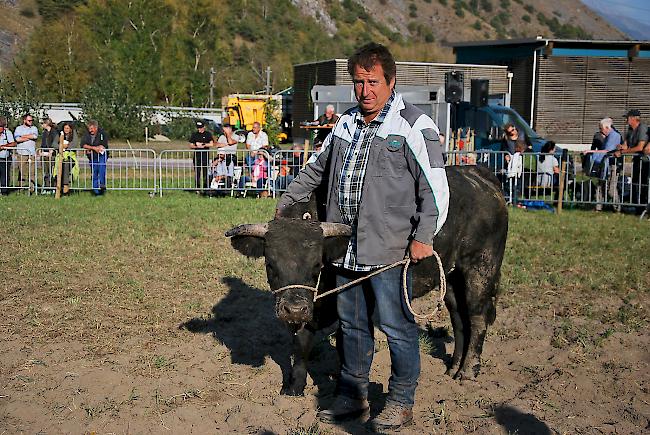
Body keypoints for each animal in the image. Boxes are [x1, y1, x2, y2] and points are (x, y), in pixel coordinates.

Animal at [225, 165, 508, 396]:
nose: (293, 308)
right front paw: (293, 389)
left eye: (317, 265)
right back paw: (453, 368)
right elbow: (301, 345)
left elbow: (345, 347)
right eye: (271, 265)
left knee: (477, 318)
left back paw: (468, 371)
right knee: (460, 320)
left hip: (480, 269)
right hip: (449, 277)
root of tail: (479, 176)